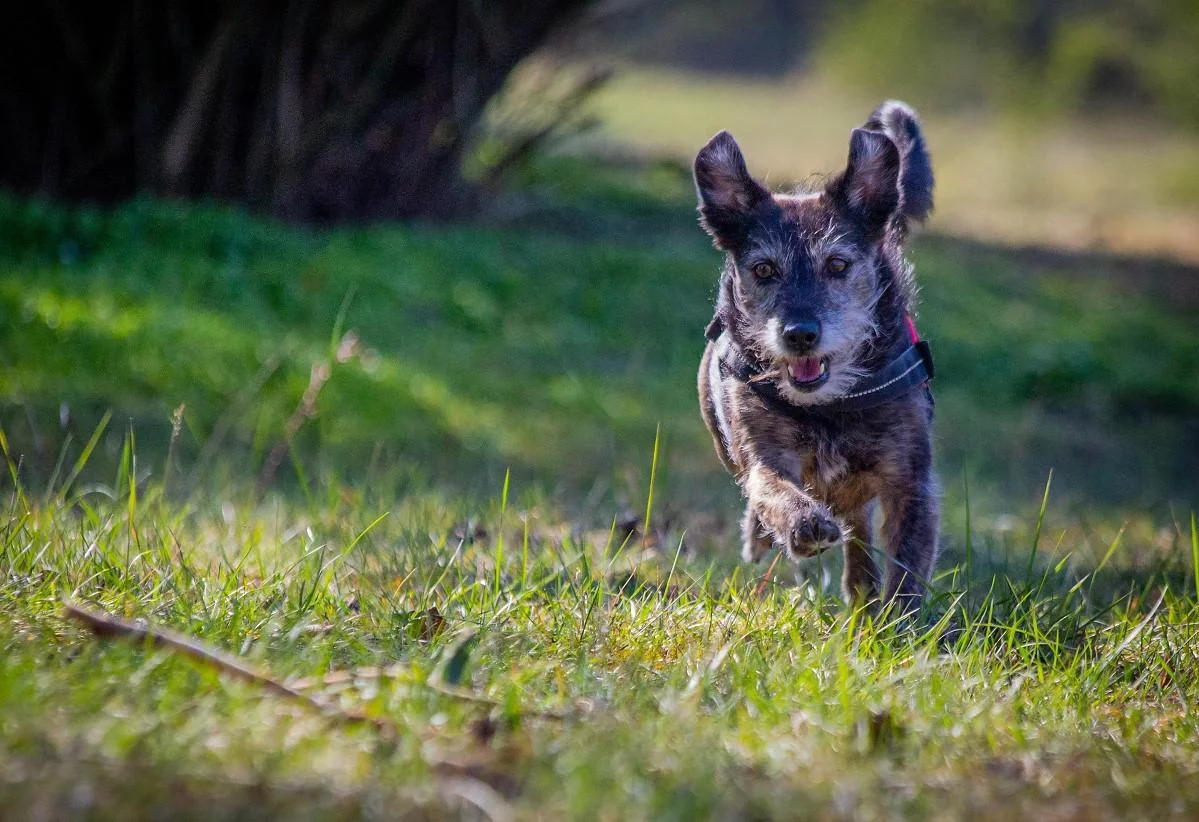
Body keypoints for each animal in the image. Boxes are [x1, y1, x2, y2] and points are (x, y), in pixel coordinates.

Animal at [700, 100, 940, 611]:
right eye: (763, 270)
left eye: (837, 264)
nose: (800, 334)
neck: (829, 404)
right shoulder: (763, 453)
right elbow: (770, 489)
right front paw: (802, 523)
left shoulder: (911, 480)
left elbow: (907, 567)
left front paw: (901, 624)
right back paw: (762, 537)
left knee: (859, 532)